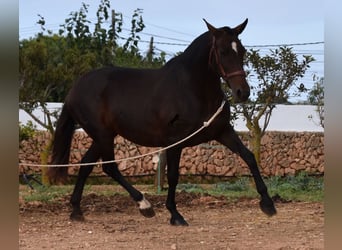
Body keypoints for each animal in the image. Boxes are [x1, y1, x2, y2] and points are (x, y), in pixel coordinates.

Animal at [48, 18, 276, 226]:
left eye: (242, 50)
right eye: (222, 51)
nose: (242, 92)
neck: (192, 90)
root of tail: (75, 89)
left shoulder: (222, 131)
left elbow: (249, 157)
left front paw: (268, 204)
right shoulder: (174, 141)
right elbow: (173, 176)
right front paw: (175, 215)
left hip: (103, 136)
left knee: (86, 165)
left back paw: (77, 210)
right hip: (102, 135)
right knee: (109, 168)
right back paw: (144, 205)